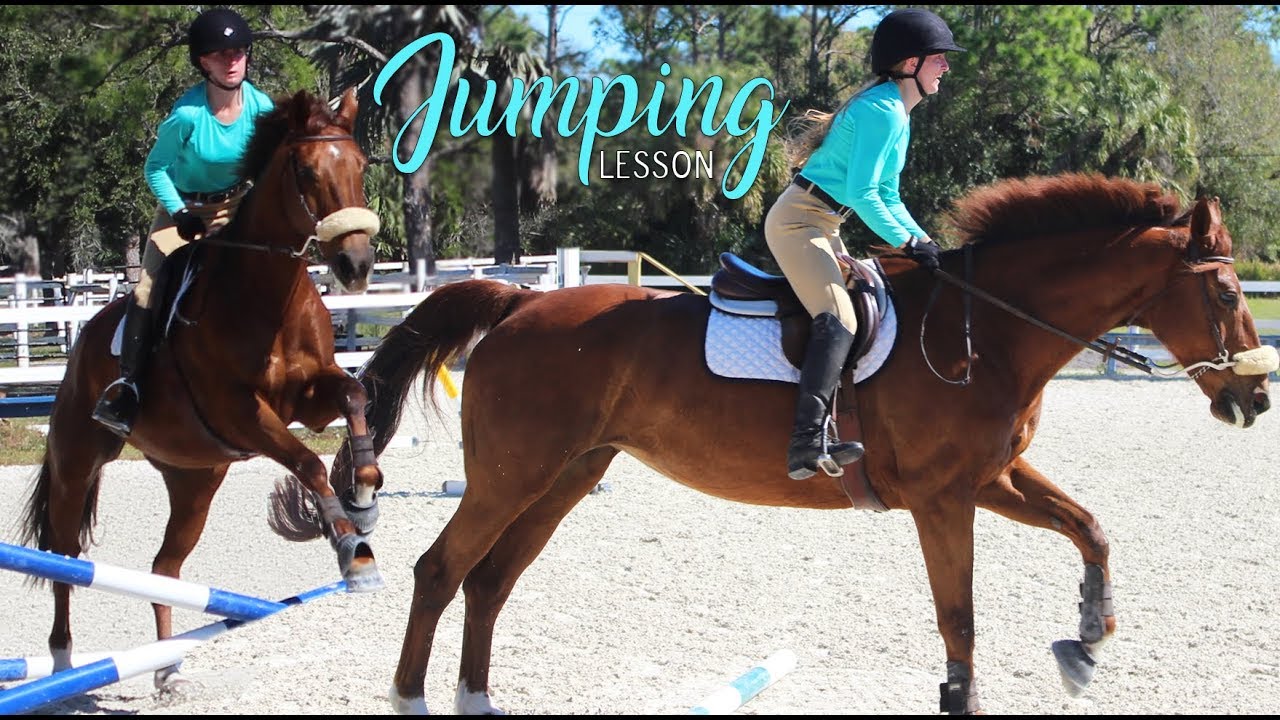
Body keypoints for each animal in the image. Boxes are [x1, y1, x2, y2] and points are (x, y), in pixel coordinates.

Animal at [19, 87, 387, 690]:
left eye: (360, 166)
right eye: (307, 171)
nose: (355, 265)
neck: (266, 292)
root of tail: (83, 338)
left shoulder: (308, 398)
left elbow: (353, 398)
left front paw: (364, 497)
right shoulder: (239, 412)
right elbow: (307, 463)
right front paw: (352, 549)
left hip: (193, 479)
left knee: (164, 568)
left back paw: (167, 668)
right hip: (77, 462)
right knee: (67, 557)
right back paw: (63, 660)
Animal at [275, 174, 1275, 714]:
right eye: (1228, 294)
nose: (1256, 399)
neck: (989, 326)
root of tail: (520, 301)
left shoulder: (994, 478)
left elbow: (1090, 526)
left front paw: (1088, 640)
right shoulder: (945, 498)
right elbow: (959, 616)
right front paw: (977, 690)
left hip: (565, 477)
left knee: (488, 583)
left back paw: (478, 696)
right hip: (511, 477)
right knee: (442, 572)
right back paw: (411, 694)